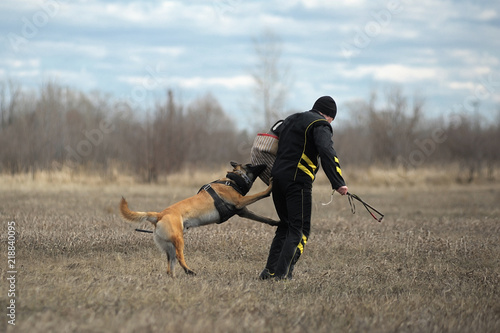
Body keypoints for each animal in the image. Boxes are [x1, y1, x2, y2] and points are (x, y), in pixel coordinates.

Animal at [119, 162, 280, 276]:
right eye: (251, 164)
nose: (265, 164)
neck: (231, 181)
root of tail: (159, 215)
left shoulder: (243, 211)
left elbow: (264, 218)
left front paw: (277, 222)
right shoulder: (241, 201)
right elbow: (261, 194)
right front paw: (271, 186)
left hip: (169, 247)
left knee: (170, 267)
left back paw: (175, 277)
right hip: (179, 240)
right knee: (180, 257)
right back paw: (189, 271)